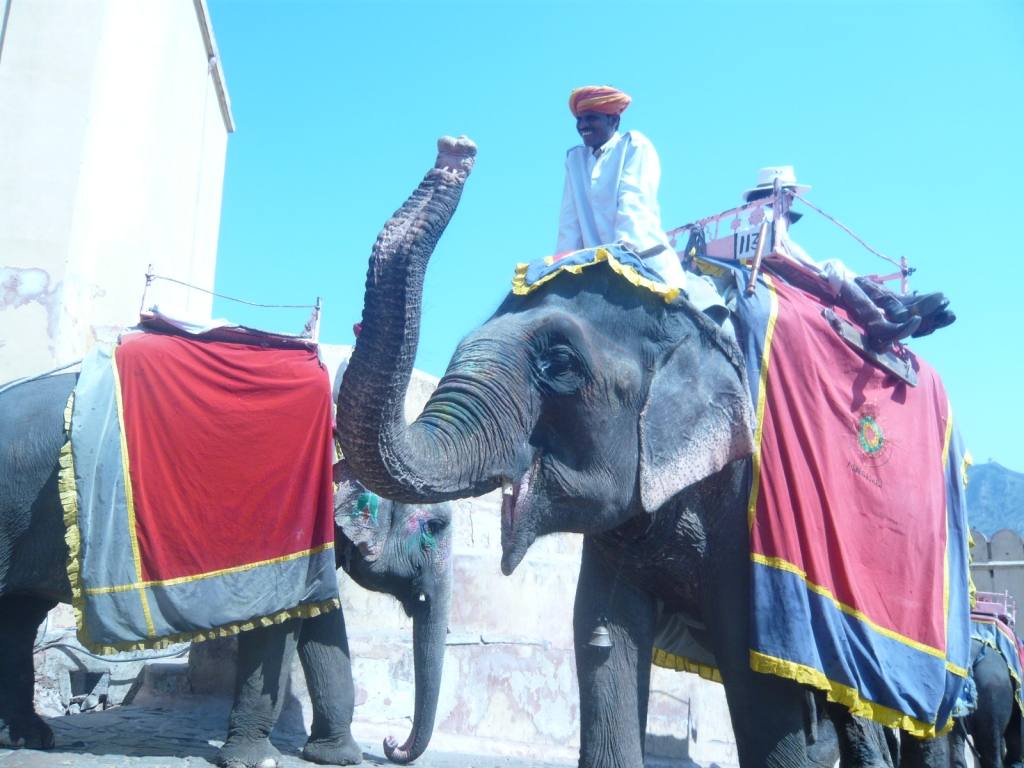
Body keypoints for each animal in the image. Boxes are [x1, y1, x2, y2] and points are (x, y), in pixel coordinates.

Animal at [0, 370, 452, 765]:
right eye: (435, 527)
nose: (391, 744)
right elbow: (282, 622)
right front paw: (257, 762)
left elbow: (324, 622)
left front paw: (338, 758)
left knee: (20, 617)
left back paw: (30, 738)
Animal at [339, 138, 954, 768]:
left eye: (560, 364)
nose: (456, 148)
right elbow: (601, 636)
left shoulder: (755, 506)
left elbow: (765, 686)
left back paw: (913, 311)